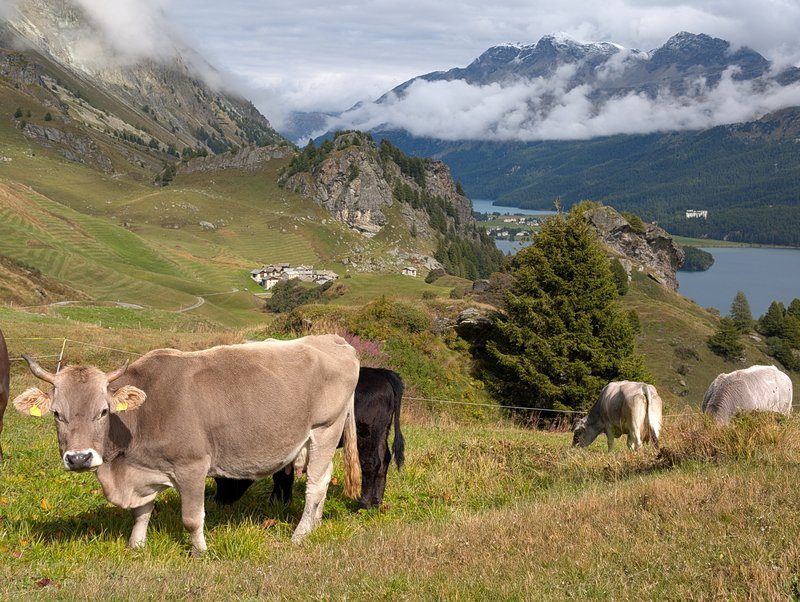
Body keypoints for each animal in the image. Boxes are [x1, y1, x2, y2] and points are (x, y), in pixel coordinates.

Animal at [12, 335, 361, 555]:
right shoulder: (144, 468)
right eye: (57, 413)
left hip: (325, 429)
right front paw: (136, 545)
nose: (79, 458)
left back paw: (300, 534)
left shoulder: (192, 466)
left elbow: (192, 518)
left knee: (315, 484)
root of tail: (333, 339)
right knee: (323, 479)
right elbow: (141, 511)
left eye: (103, 411)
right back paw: (315, 524)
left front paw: (199, 551)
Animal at [215, 366, 406, 509]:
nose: (219, 501)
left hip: (365, 433)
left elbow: (281, 476)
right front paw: (282, 502)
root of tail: (381, 373)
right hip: (381, 432)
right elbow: (285, 475)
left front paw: (276, 502)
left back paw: (363, 504)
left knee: (371, 463)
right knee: (384, 459)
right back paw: (376, 502)